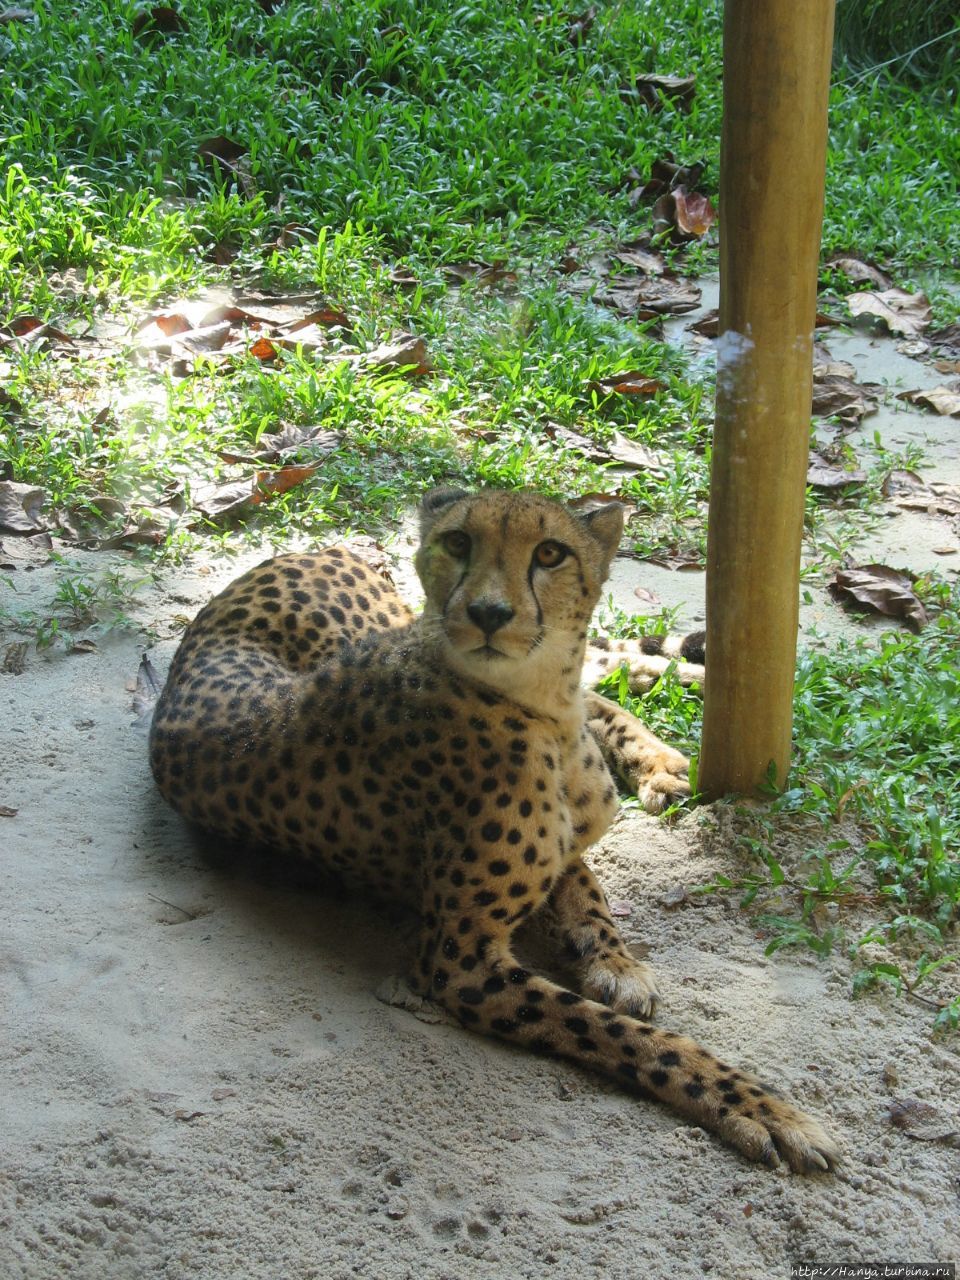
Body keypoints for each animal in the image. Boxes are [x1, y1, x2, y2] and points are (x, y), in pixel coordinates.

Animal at [146, 486, 839, 1172]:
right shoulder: (459, 961)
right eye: (458, 542)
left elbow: (585, 882)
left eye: (550, 553)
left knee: (605, 673)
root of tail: (295, 554)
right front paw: (757, 1107)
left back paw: (676, 731)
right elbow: (622, 1032)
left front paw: (613, 958)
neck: (541, 705)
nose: (486, 613)